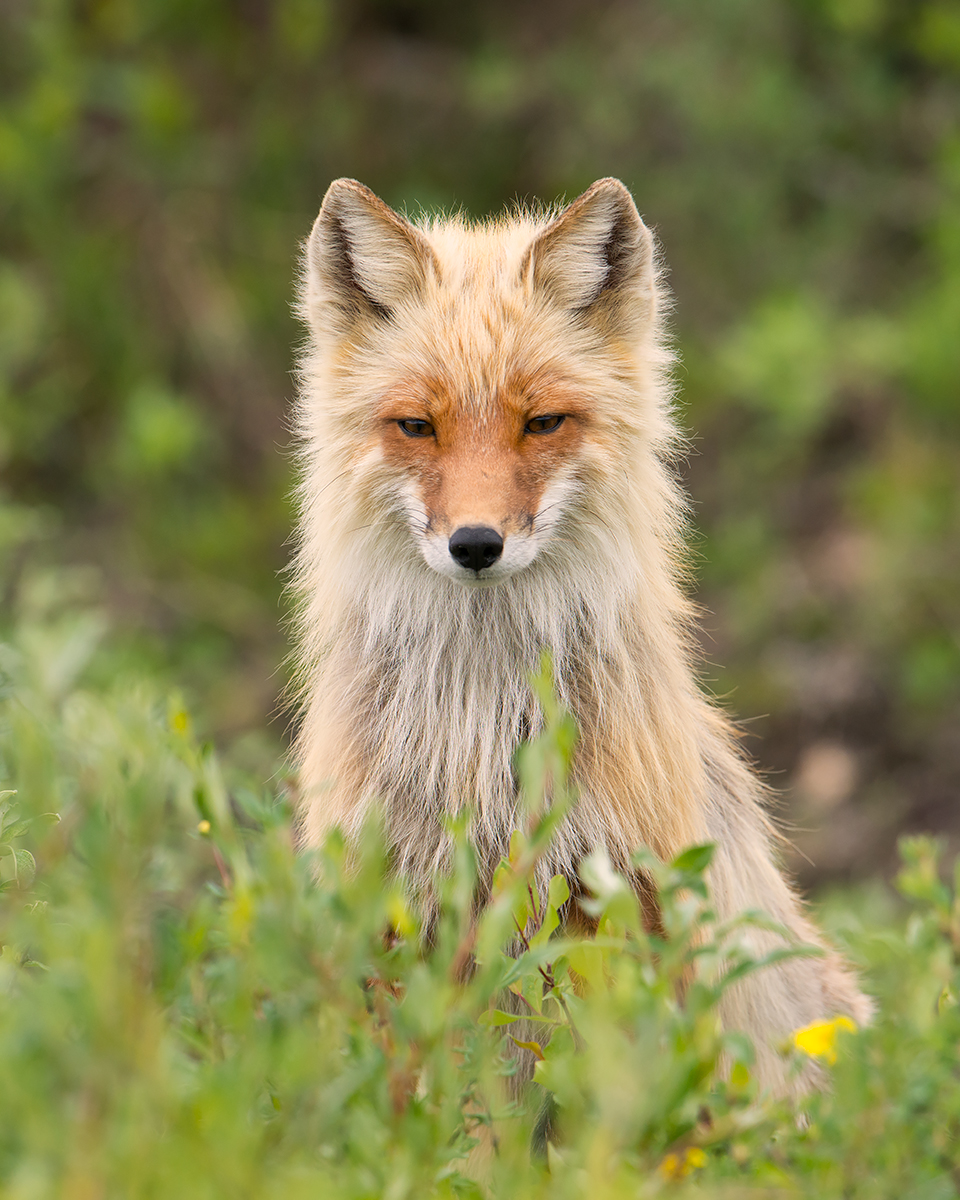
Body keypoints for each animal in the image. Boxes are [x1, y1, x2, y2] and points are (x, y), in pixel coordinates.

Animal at [290, 176, 872, 1093]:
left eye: (543, 423)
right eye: (418, 426)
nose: (476, 544)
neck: (482, 739)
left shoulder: (620, 893)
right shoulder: (390, 902)